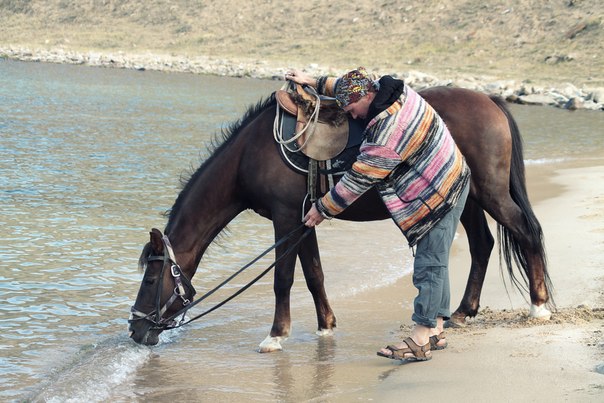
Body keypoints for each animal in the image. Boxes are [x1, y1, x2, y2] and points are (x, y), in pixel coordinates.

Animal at [127, 87, 552, 352]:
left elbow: (283, 279)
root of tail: (491, 101)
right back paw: (464, 312)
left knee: (527, 233)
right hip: (468, 200)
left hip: (490, 194)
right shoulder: (303, 221)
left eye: (150, 278)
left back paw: (539, 307)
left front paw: (276, 336)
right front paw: (326, 326)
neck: (250, 153)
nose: (135, 329)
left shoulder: (286, 220)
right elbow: (314, 274)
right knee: (483, 244)